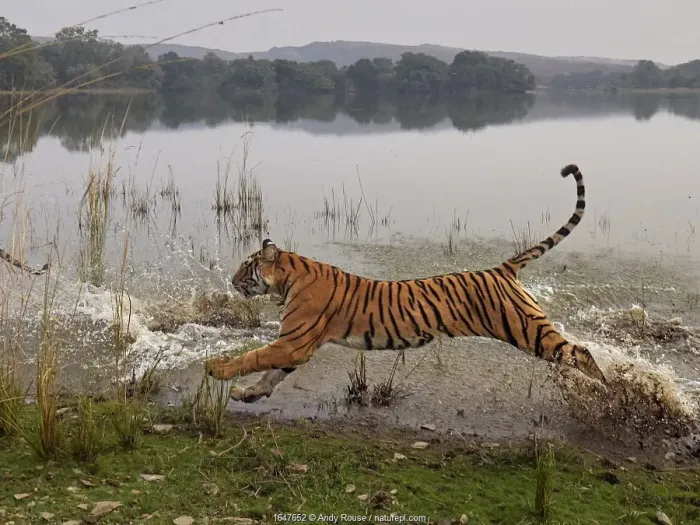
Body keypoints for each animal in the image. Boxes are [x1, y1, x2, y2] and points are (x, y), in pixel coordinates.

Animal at [205, 163, 607, 403]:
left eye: (246, 265)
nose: (233, 280)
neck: (291, 276)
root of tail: (502, 268)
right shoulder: (296, 348)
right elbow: (270, 375)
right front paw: (246, 394)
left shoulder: (292, 342)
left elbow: (254, 357)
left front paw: (217, 370)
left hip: (526, 330)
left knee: (580, 352)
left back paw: (608, 390)